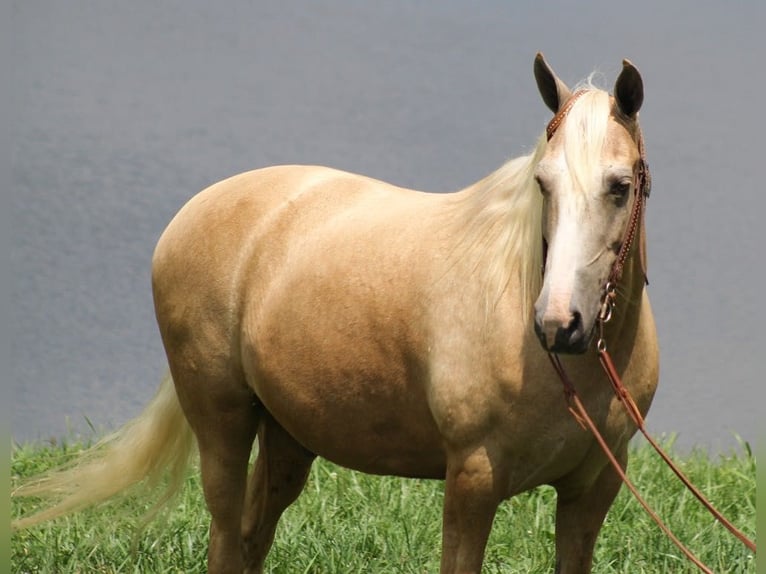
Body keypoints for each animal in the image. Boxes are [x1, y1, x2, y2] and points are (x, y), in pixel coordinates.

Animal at [10, 51, 660, 572]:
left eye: (620, 186)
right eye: (543, 183)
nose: (559, 323)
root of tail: (196, 209)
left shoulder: (593, 489)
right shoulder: (473, 482)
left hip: (288, 436)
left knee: (251, 536)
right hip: (222, 422)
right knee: (225, 537)